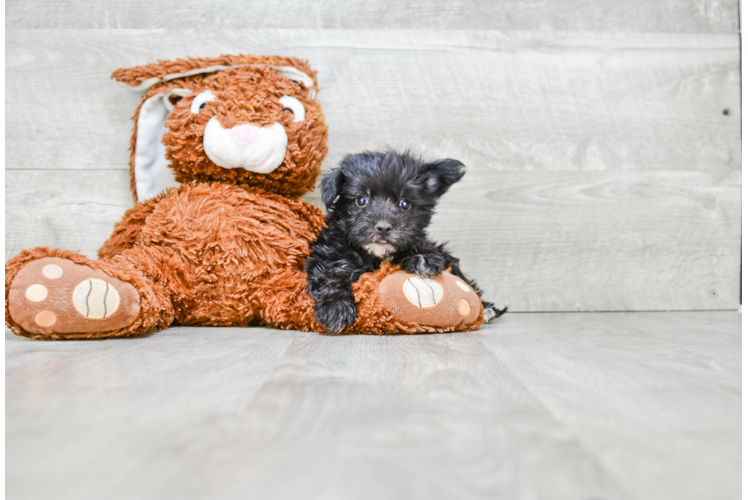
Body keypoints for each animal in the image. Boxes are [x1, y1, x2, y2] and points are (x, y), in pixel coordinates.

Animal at [306, 150, 508, 334]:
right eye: (361, 200)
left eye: (405, 204)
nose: (383, 227)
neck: (377, 255)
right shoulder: (328, 255)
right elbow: (329, 277)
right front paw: (335, 308)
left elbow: (423, 246)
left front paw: (424, 259)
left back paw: (487, 309)